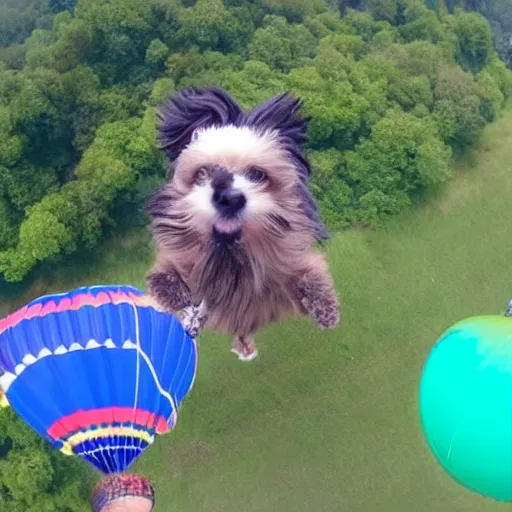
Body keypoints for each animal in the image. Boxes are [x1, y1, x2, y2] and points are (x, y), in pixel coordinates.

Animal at [146, 88, 342, 360]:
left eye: (256, 174)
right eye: (203, 173)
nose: (229, 197)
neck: (231, 256)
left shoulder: (288, 277)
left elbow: (311, 275)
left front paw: (327, 312)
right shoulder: (177, 264)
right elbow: (163, 279)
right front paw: (176, 298)